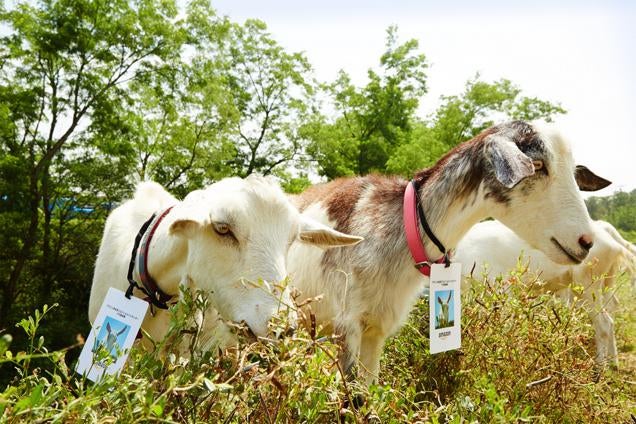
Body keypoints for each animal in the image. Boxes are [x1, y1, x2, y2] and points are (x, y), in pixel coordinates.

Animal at [454, 220, 632, 366]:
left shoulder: (501, 288)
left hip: (587, 285)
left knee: (604, 323)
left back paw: (598, 372)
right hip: (606, 281)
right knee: (611, 313)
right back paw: (613, 364)